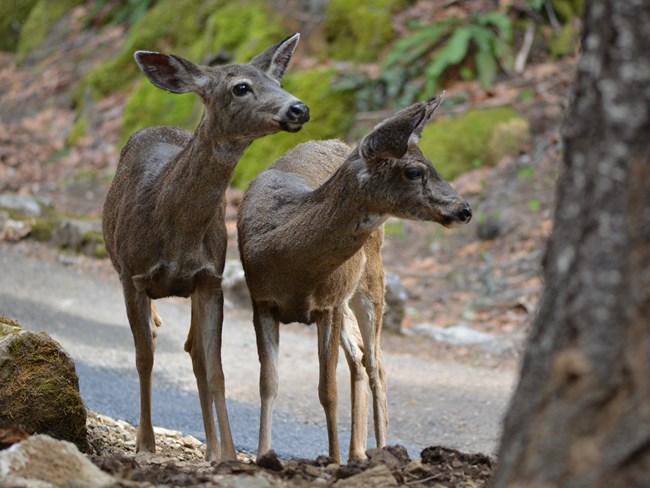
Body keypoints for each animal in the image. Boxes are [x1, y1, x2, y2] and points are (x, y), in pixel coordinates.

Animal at [102, 33, 310, 462]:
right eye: (240, 87)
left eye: (278, 82)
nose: (299, 107)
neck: (175, 232)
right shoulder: (132, 275)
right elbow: (144, 358)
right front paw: (144, 445)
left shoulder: (210, 277)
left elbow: (215, 369)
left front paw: (228, 454)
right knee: (160, 343)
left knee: (195, 353)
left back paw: (212, 447)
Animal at [235, 94, 468, 462]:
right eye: (414, 170)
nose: (465, 210)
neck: (291, 266)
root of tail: (337, 143)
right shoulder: (261, 300)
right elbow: (268, 382)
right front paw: (264, 457)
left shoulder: (327, 305)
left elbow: (327, 390)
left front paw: (331, 460)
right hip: (346, 296)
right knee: (358, 358)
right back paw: (357, 452)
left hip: (371, 281)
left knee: (376, 364)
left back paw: (382, 450)